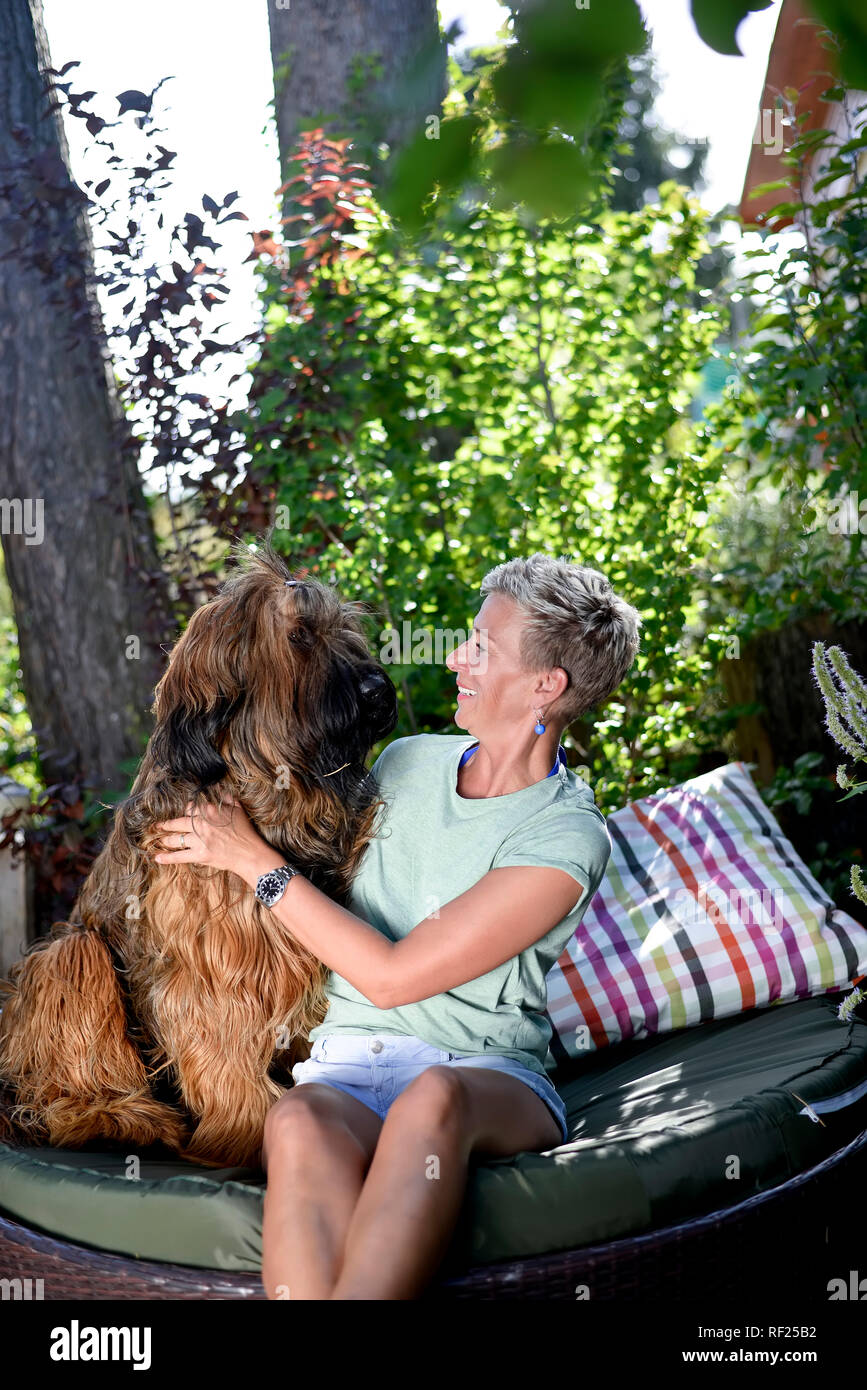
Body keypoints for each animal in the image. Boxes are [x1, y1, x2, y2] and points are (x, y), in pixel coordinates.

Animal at [0, 547, 400, 1167]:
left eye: (344, 628)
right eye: (299, 636)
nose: (381, 692)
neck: (267, 793)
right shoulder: (213, 964)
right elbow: (221, 1047)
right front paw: (249, 1133)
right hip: (68, 958)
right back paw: (121, 1119)